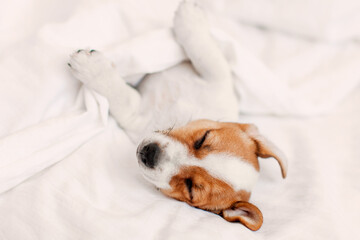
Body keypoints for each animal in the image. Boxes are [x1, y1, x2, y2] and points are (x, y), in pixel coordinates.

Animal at [67, 0, 286, 232]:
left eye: (190, 189)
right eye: (204, 137)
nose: (150, 153)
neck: (177, 114)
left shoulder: (134, 114)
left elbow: (121, 96)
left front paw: (92, 69)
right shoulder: (219, 81)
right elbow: (211, 59)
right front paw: (191, 20)